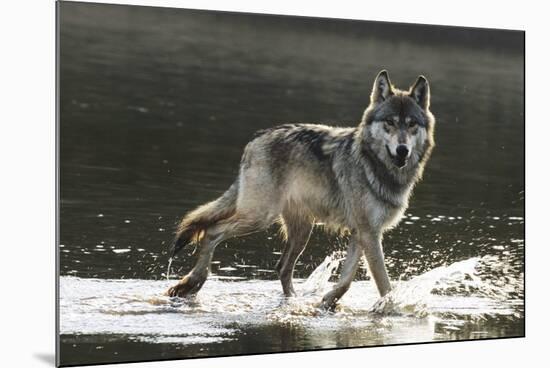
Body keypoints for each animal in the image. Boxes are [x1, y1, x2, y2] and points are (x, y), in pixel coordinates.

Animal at [167, 69, 436, 310]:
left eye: (412, 124)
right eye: (390, 122)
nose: (402, 150)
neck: (376, 165)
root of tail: (255, 139)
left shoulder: (363, 233)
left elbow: (346, 280)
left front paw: (328, 301)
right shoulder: (369, 234)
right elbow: (384, 284)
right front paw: (392, 310)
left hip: (301, 231)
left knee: (282, 267)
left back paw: (293, 301)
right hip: (260, 218)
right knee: (212, 232)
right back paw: (192, 283)